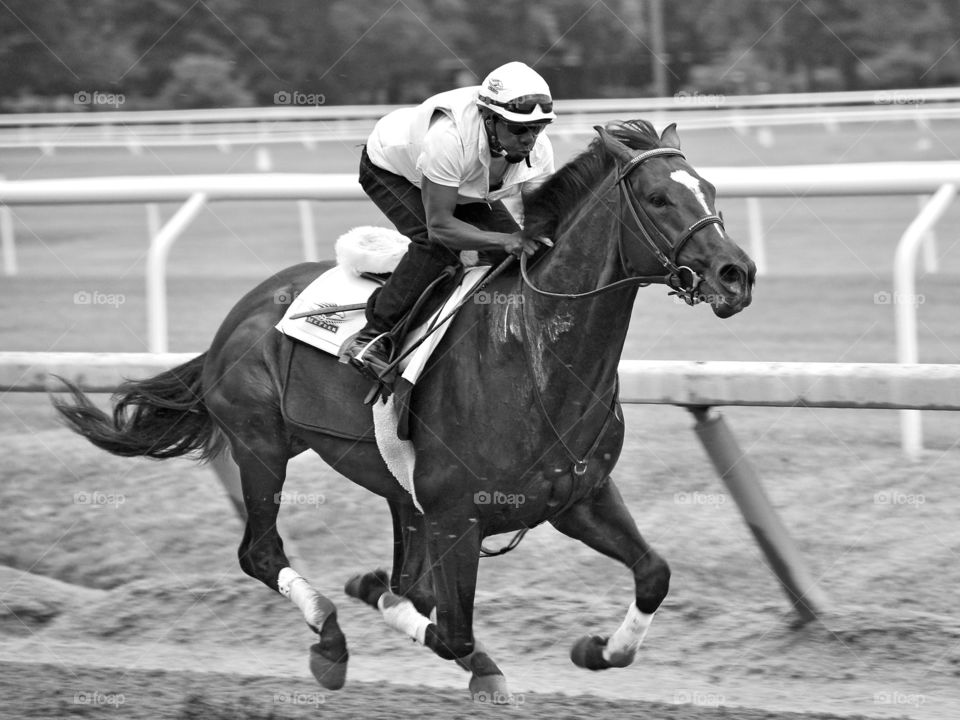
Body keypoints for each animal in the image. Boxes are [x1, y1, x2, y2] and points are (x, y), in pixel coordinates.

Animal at [54, 119, 756, 704]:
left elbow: (654, 574)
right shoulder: (454, 516)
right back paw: (330, 638)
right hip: (261, 445)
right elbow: (451, 630)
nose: (737, 273)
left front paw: (596, 649)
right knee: (259, 552)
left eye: (711, 189)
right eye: (659, 198)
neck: (534, 353)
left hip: (390, 485)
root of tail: (245, 309)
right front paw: (381, 603)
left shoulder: (579, 497)